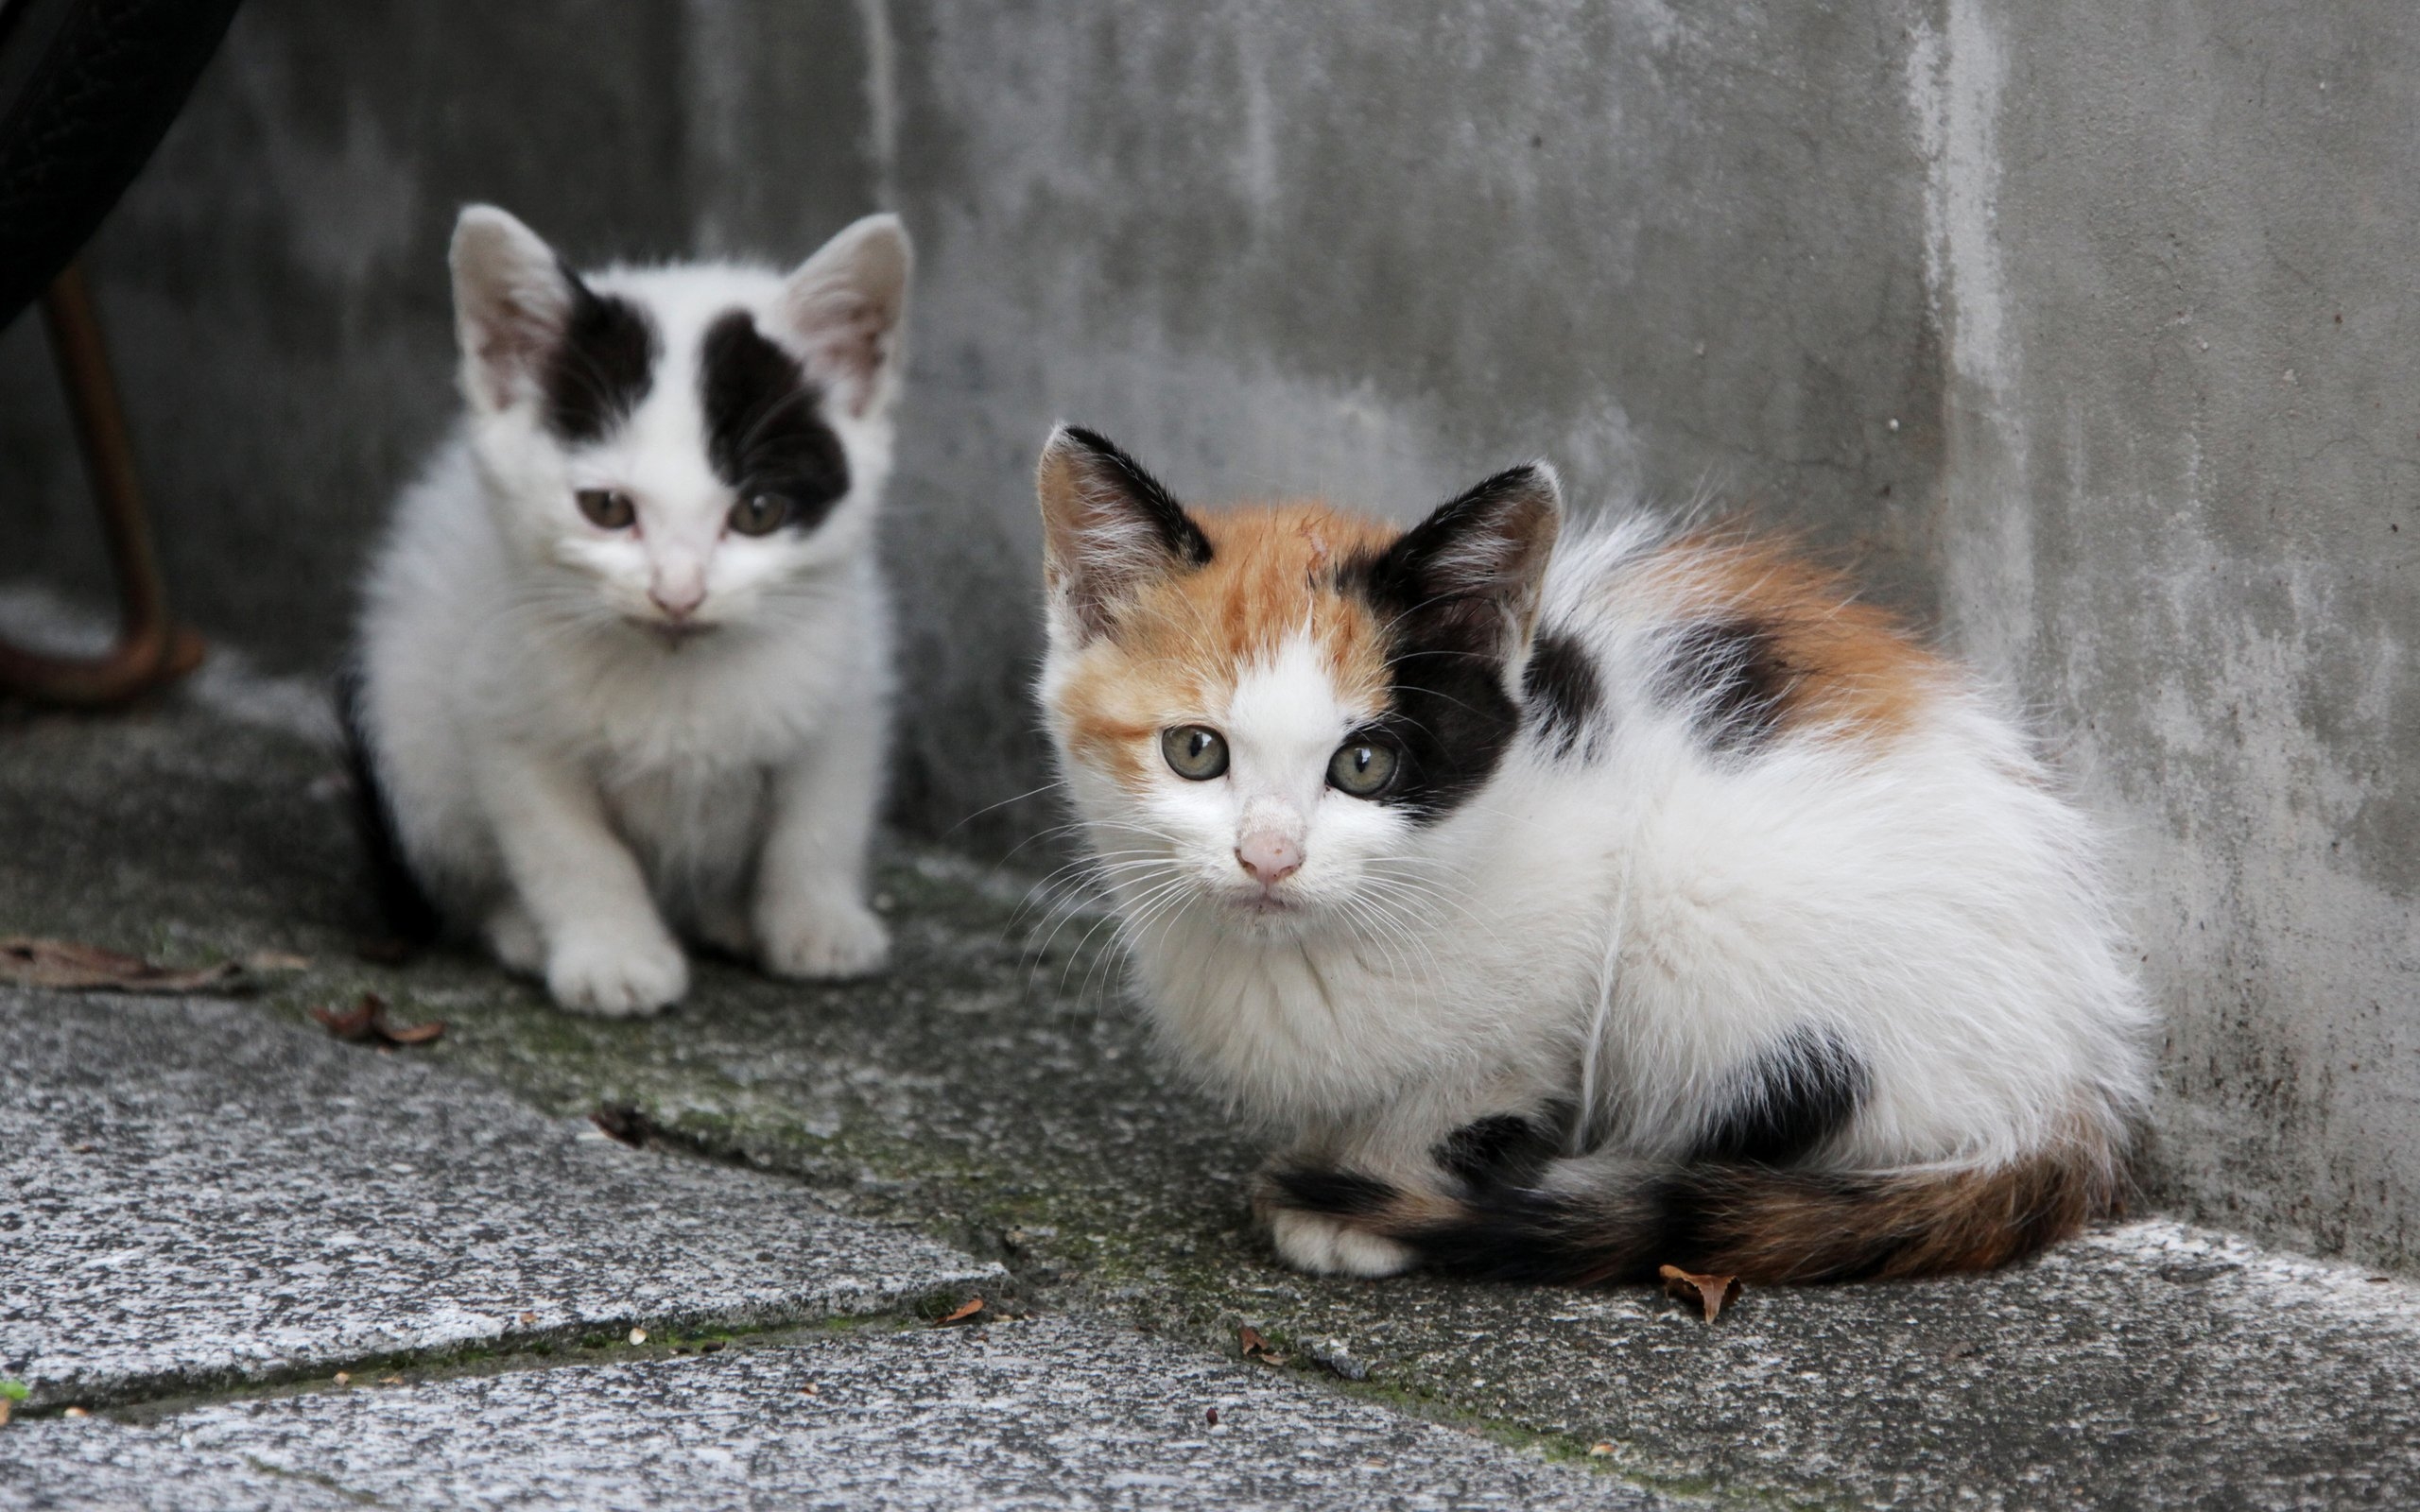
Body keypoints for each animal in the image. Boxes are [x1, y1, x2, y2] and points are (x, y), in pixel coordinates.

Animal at [357, 206, 914, 1016]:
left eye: (757, 511)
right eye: (608, 509)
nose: (677, 593)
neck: (678, 676)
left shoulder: (846, 684)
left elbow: (818, 819)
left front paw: (817, 926)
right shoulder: (504, 714)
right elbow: (571, 849)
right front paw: (613, 957)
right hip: (410, 739)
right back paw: (520, 929)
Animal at [1030, 428, 2149, 1286]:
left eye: (1364, 764)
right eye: (1195, 750)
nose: (1268, 856)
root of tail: (2072, 1082)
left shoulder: (1559, 983)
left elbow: (1472, 1090)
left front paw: (1362, 1200)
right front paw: (1328, 1159)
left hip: (1724, 958)